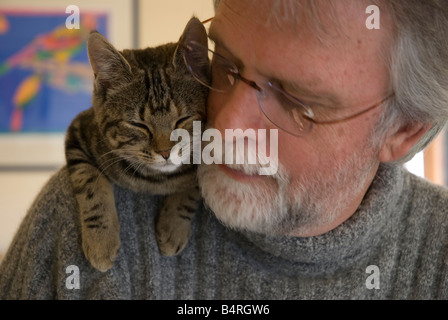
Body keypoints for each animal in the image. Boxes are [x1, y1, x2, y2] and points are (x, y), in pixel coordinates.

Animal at [65, 17, 209, 272]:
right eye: (138, 124)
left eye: (182, 119)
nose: (165, 151)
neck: (157, 180)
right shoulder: (78, 131)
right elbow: (89, 181)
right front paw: (101, 240)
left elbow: (194, 186)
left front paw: (173, 224)